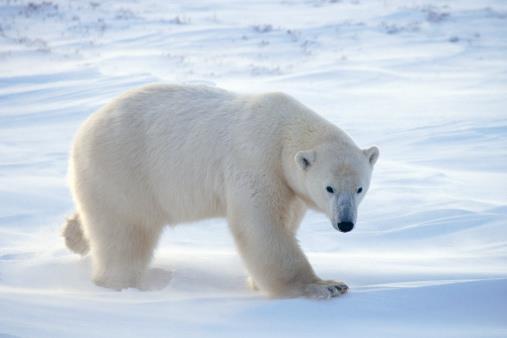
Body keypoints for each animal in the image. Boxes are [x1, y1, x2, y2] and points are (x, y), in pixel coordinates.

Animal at [62, 84, 378, 298]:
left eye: (360, 188)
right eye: (329, 188)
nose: (345, 223)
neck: (284, 132)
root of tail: (83, 130)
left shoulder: (288, 184)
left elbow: (286, 220)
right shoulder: (256, 162)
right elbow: (261, 227)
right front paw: (325, 285)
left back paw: (73, 235)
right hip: (124, 171)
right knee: (125, 234)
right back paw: (119, 283)